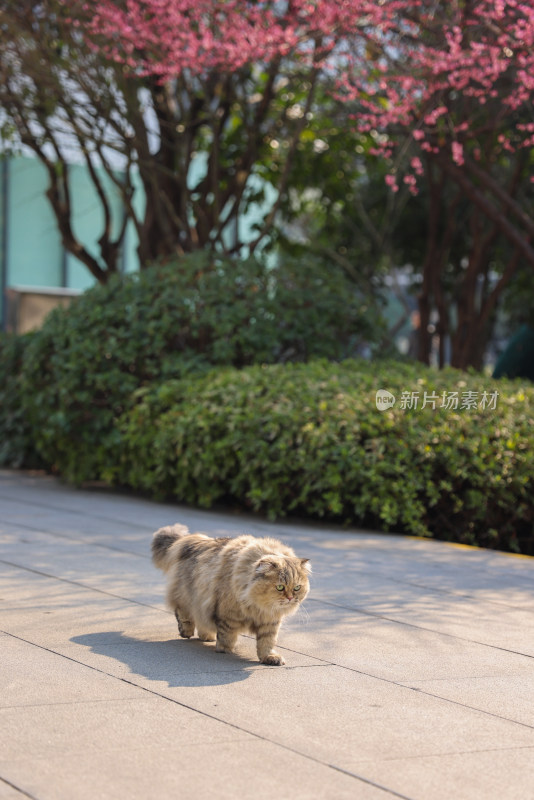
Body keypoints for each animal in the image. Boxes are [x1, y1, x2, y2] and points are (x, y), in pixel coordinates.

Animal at [151, 520, 312, 664]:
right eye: (280, 587)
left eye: (297, 588)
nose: (290, 598)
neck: (258, 607)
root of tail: (195, 540)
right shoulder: (228, 615)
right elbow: (227, 634)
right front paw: (225, 649)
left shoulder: (270, 622)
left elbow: (267, 642)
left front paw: (269, 657)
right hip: (187, 595)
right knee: (183, 613)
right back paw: (187, 632)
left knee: (201, 620)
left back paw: (206, 636)